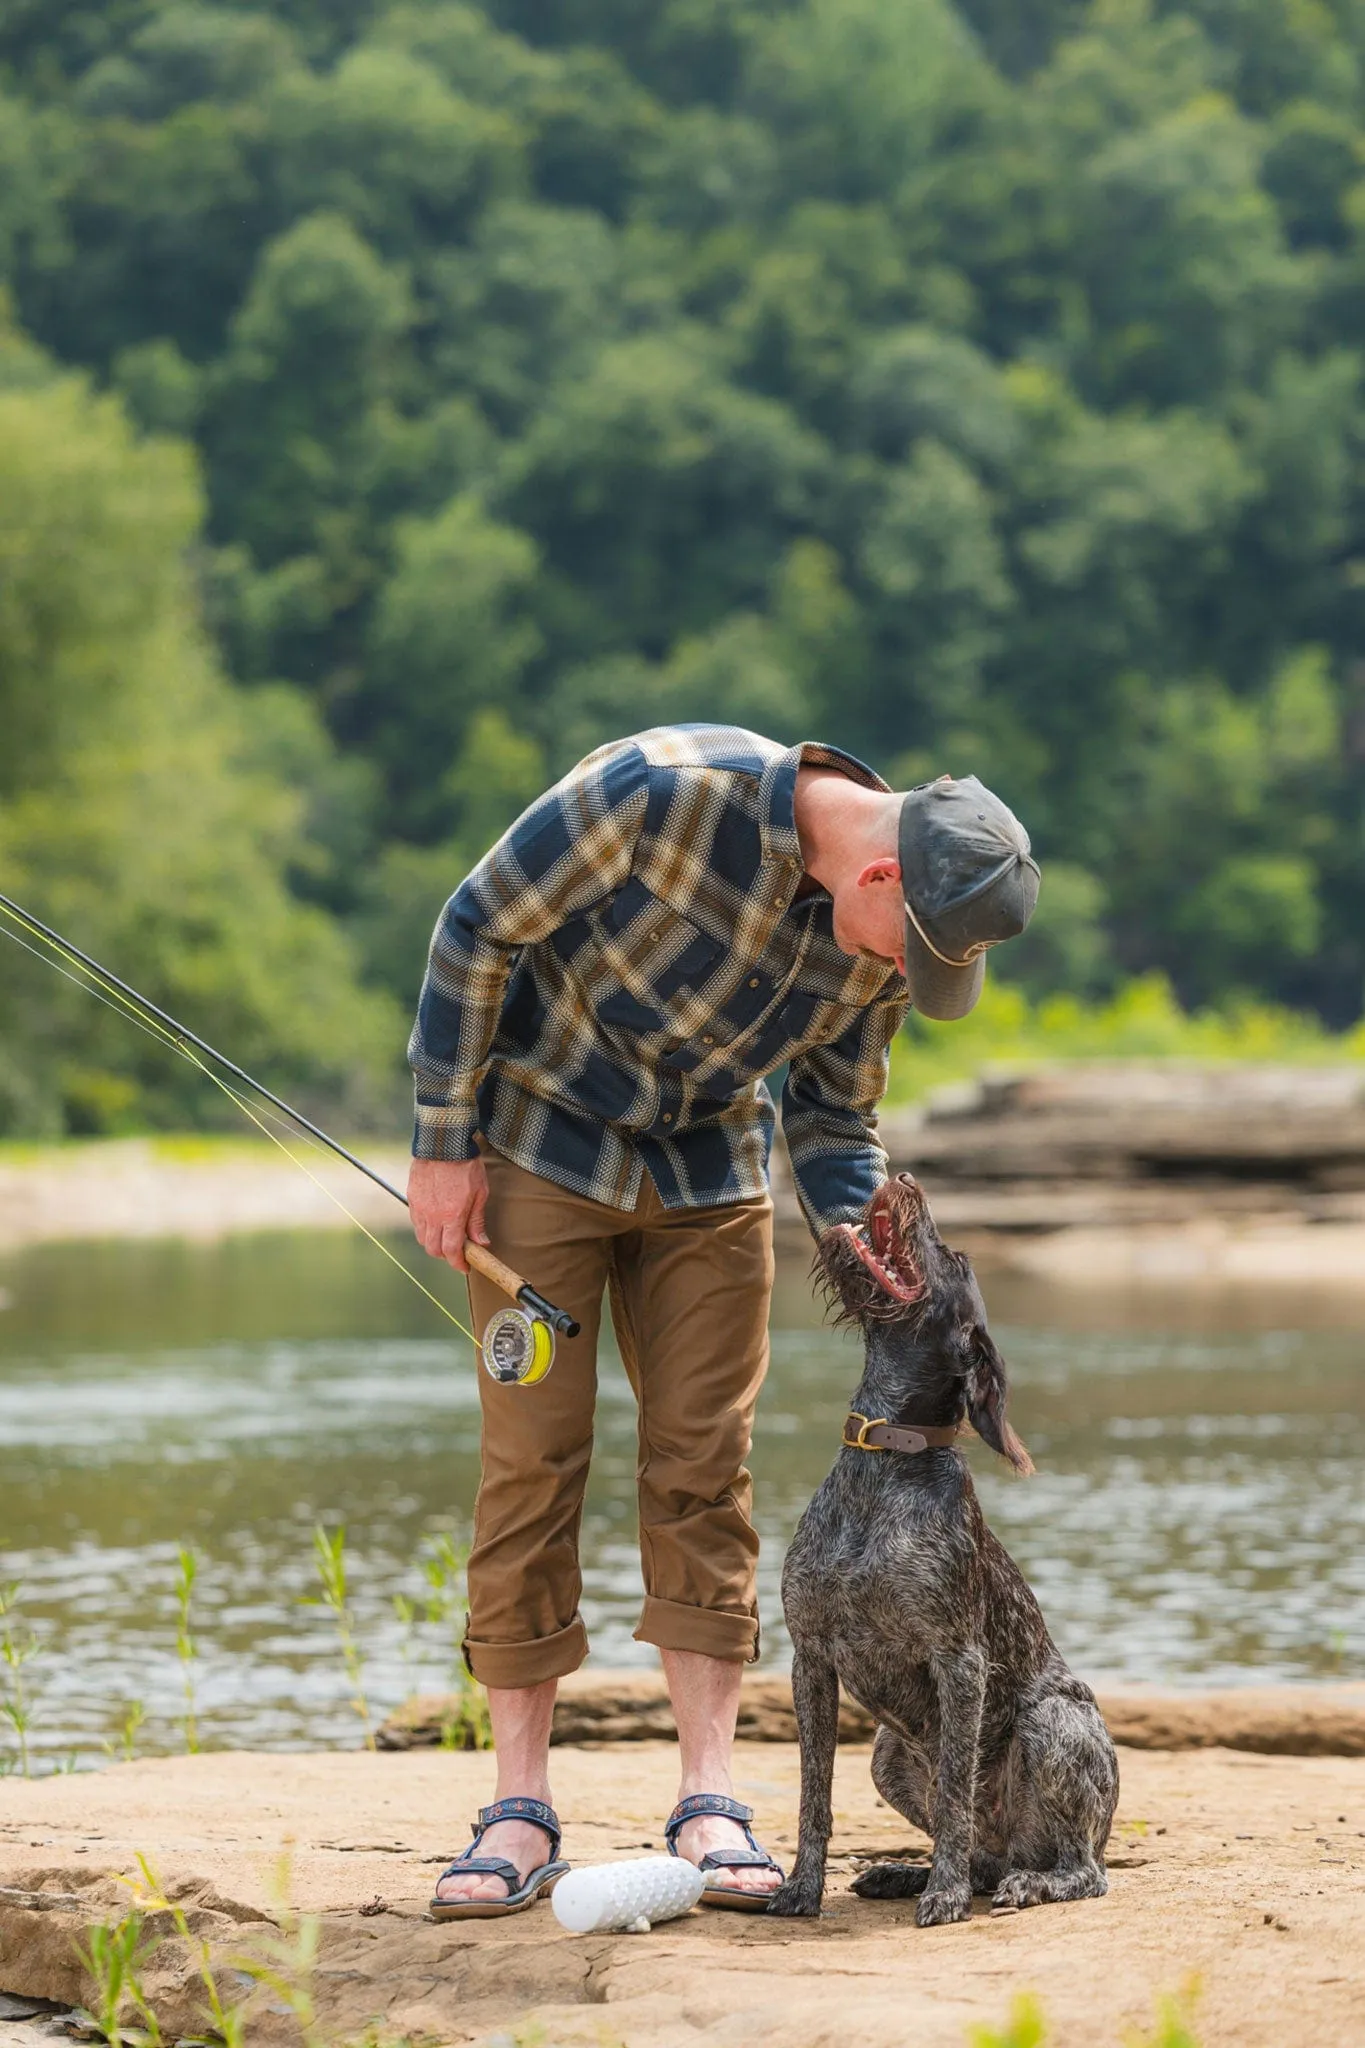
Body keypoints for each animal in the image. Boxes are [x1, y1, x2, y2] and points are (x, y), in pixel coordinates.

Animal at [769, 1179, 1121, 1925]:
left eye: (953, 1258)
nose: (905, 1182)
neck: (883, 1461)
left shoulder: (959, 1663)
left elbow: (957, 1792)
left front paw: (945, 1895)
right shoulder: (809, 1659)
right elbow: (814, 1798)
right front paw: (802, 1887)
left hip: (1053, 1722)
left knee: (1079, 1869)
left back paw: (1025, 1884)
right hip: (885, 1755)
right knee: (989, 1855)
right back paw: (903, 1872)